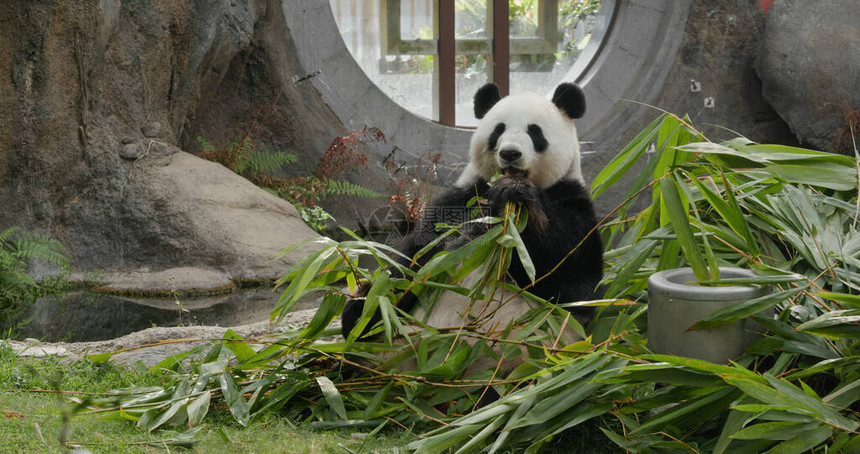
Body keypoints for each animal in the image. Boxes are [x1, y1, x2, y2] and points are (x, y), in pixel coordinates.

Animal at [342, 83, 604, 374]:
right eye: (498, 130)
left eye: (534, 131)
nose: (510, 153)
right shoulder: (459, 199)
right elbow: (415, 259)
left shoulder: (571, 202)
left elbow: (575, 283)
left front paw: (517, 197)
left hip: (523, 360)